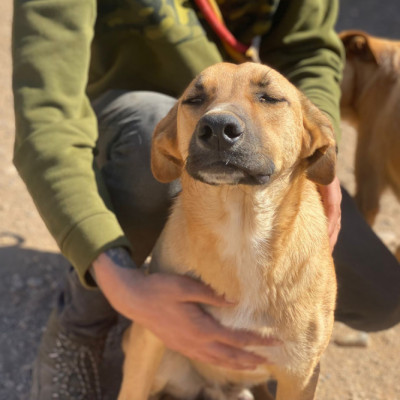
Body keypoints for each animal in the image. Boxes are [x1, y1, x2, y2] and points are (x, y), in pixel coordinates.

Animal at [118, 62, 337, 400]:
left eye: (270, 98)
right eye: (194, 99)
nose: (218, 128)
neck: (241, 232)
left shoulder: (300, 374)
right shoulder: (151, 333)